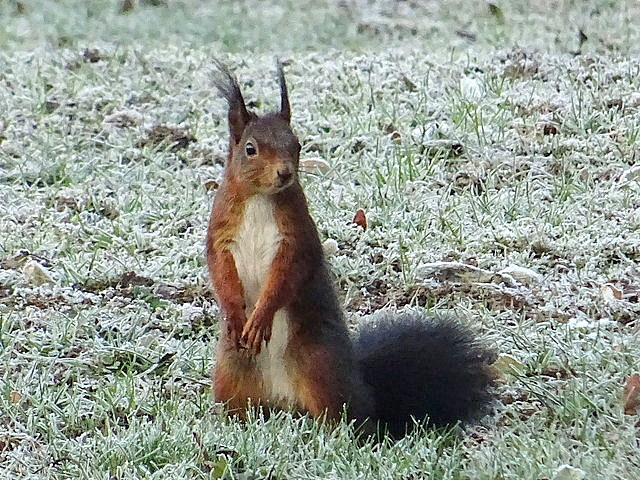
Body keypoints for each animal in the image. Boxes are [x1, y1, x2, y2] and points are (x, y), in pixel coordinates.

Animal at [206, 61, 495, 438]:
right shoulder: (221, 233)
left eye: (297, 144)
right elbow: (220, 269)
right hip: (232, 369)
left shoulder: (296, 238)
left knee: (350, 415)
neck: (260, 198)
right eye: (250, 149)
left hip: (320, 366)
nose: (285, 174)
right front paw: (235, 311)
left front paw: (261, 317)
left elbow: (287, 273)